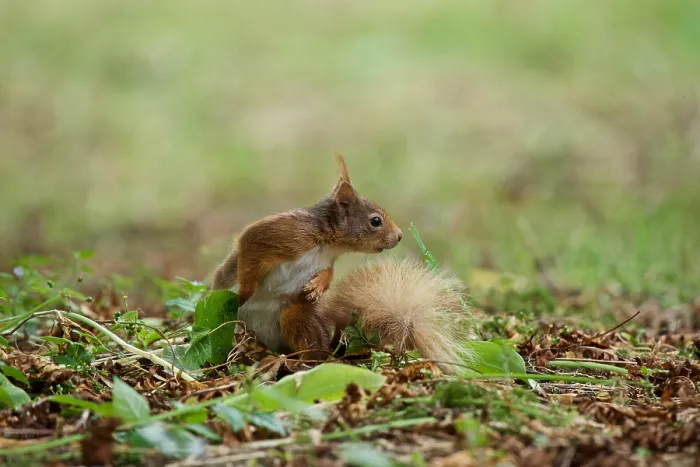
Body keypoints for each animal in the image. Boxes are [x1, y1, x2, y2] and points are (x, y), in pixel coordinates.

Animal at [212, 155, 472, 371]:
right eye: (375, 221)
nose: (399, 236)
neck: (324, 244)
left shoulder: (326, 262)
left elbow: (327, 275)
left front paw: (316, 288)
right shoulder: (275, 236)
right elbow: (247, 255)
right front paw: (243, 292)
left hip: (294, 315)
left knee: (314, 352)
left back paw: (289, 359)